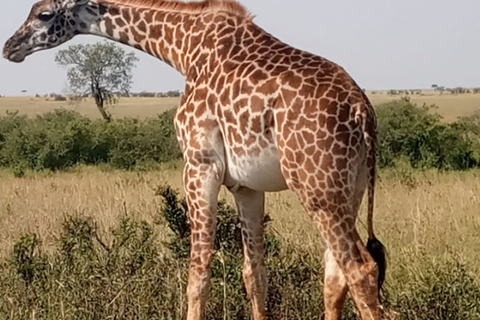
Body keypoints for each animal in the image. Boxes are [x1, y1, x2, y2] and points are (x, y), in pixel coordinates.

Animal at [1, 1, 388, 318]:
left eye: (43, 14)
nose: (10, 47)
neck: (184, 50)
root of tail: (362, 111)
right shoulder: (245, 184)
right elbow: (255, 273)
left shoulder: (199, 162)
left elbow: (197, 271)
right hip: (349, 187)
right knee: (336, 276)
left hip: (315, 186)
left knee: (361, 269)